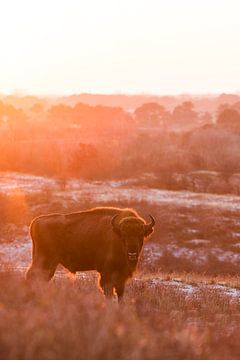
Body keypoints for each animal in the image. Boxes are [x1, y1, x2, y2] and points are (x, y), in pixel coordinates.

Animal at [25, 207, 155, 300]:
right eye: (123, 235)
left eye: (141, 234)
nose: (132, 252)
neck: (116, 234)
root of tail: (36, 221)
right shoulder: (107, 273)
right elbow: (108, 291)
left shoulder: (122, 276)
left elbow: (120, 292)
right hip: (46, 260)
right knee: (34, 276)